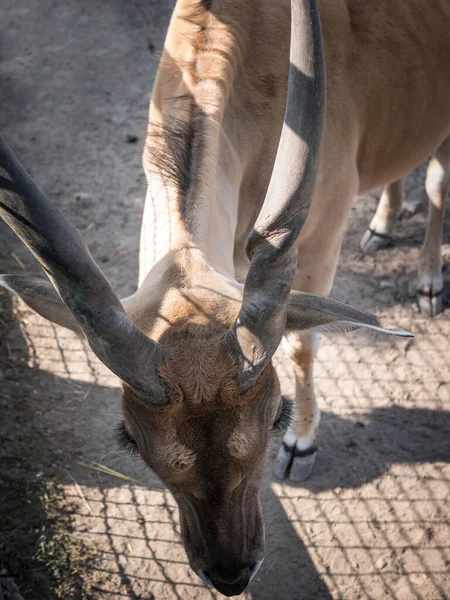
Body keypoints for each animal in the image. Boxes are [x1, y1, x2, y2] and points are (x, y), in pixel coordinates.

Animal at [1, 0, 448, 596]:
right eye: (129, 439)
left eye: (278, 415)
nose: (232, 573)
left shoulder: (324, 232)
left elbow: (303, 344)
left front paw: (303, 447)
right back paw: (381, 224)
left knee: (438, 180)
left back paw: (428, 281)